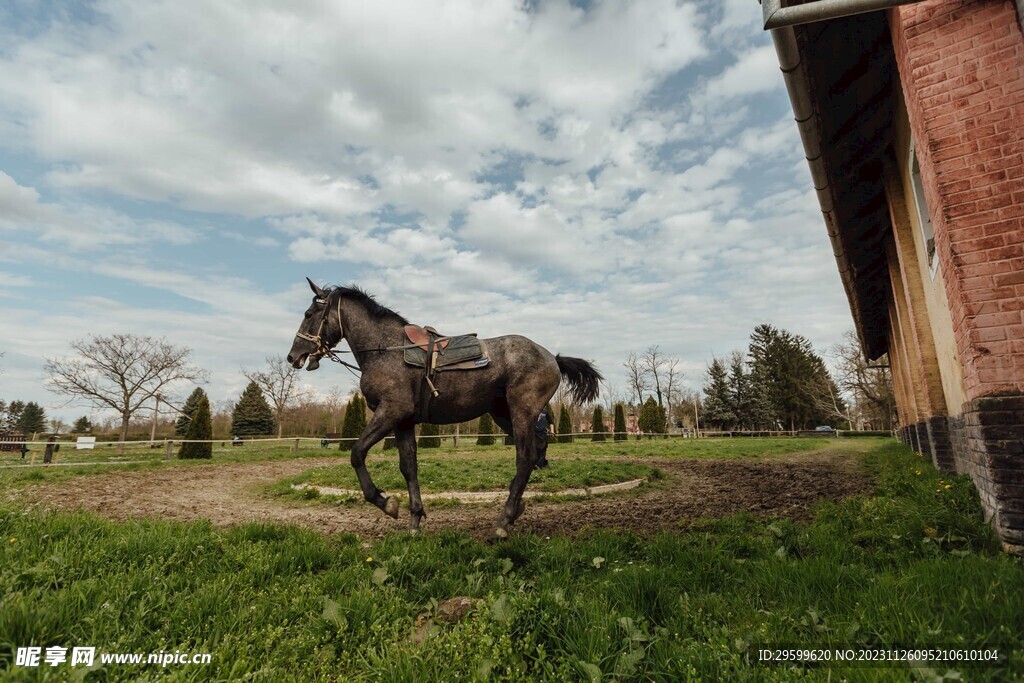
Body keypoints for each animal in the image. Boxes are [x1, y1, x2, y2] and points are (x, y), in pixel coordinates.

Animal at [286, 278, 602, 538]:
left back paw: (504, 520)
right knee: (536, 451)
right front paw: (415, 518)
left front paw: (386, 502)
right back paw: (515, 508)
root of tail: (552, 357)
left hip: (521, 411)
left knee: (525, 457)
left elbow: (357, 453)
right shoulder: (403, 421)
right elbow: (408, 467)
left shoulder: (390, 411)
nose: (293, 356)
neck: (386, 349)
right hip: (504, 415)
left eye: (309, 315)